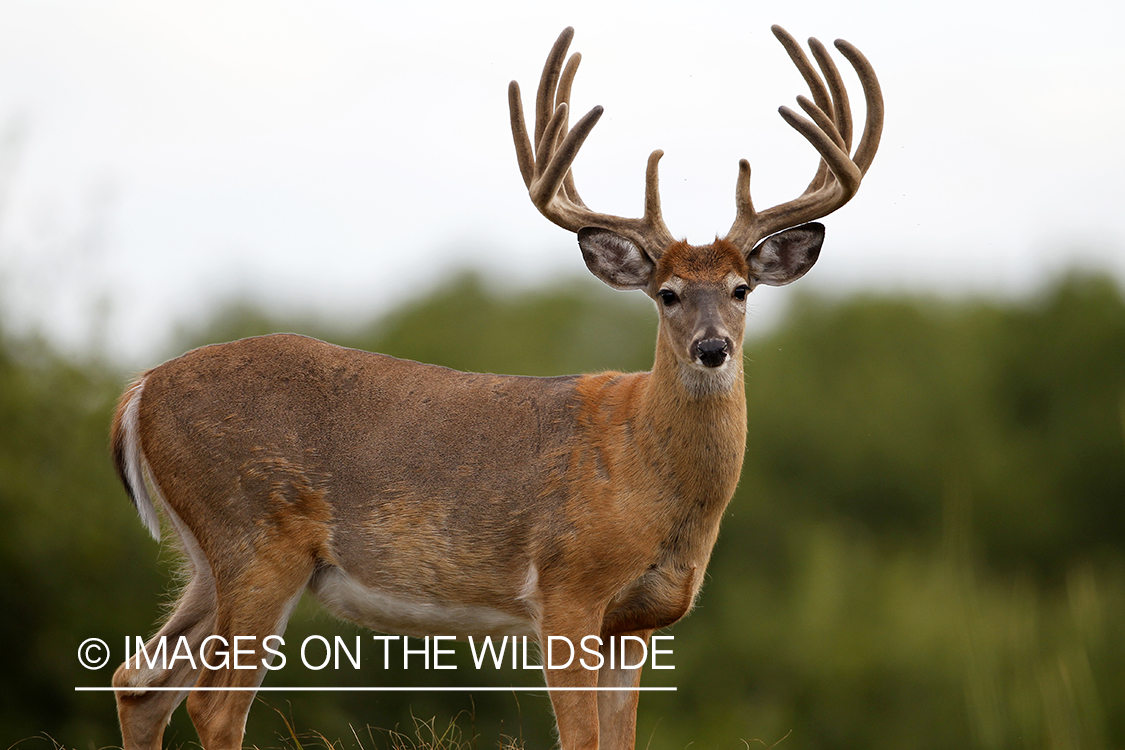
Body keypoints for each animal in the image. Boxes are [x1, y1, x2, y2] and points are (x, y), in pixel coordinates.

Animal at [111, 23, 886, 750]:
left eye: (739, 289)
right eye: (666, 294)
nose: (711, 348)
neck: (648, 472)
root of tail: (140, 390)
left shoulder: (635, 624)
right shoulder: (568, 588)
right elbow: (581, 737)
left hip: (209, 558)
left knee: (136, 682)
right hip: (255, 535)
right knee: (210, 704)